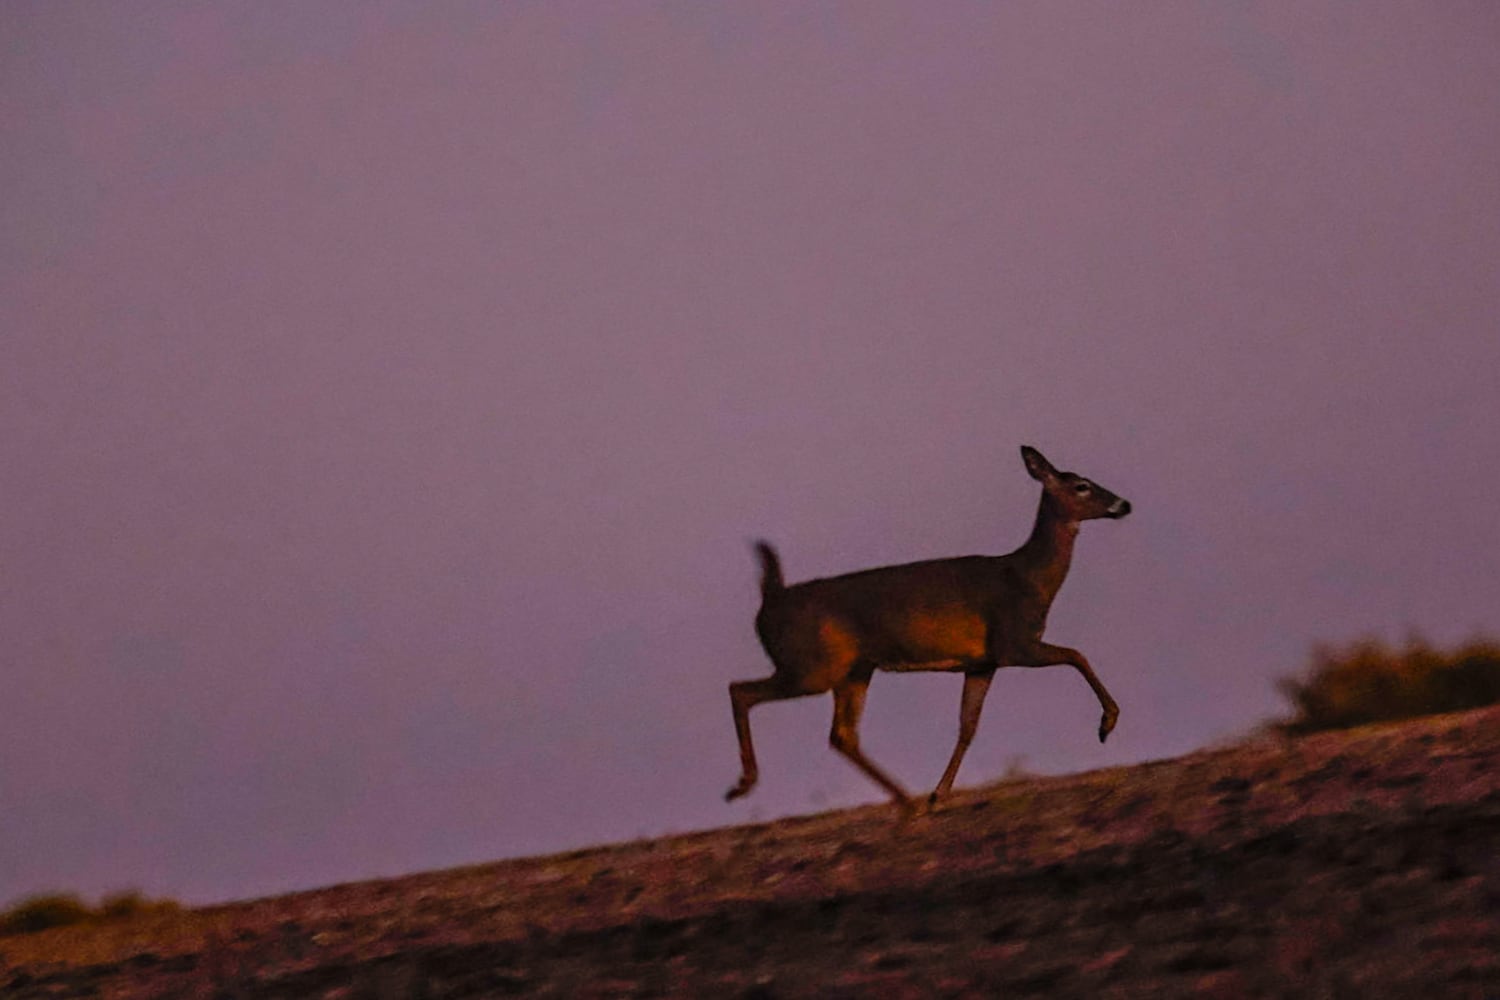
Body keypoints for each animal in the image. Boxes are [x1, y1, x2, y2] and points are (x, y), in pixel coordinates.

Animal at [723, 446, 1128, 815]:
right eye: (1081, 486)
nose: (1124, 504)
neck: (1028, 577)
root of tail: (770, 599)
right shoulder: (1014, 641)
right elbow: (1076, 654)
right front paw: (1107, 723)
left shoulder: (982, 663)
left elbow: (968, 726)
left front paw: (939, 794)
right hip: (813, 665)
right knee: (741, 690)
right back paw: (743, 784)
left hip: (854, 669)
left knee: (842, 735)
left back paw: (908, 801)